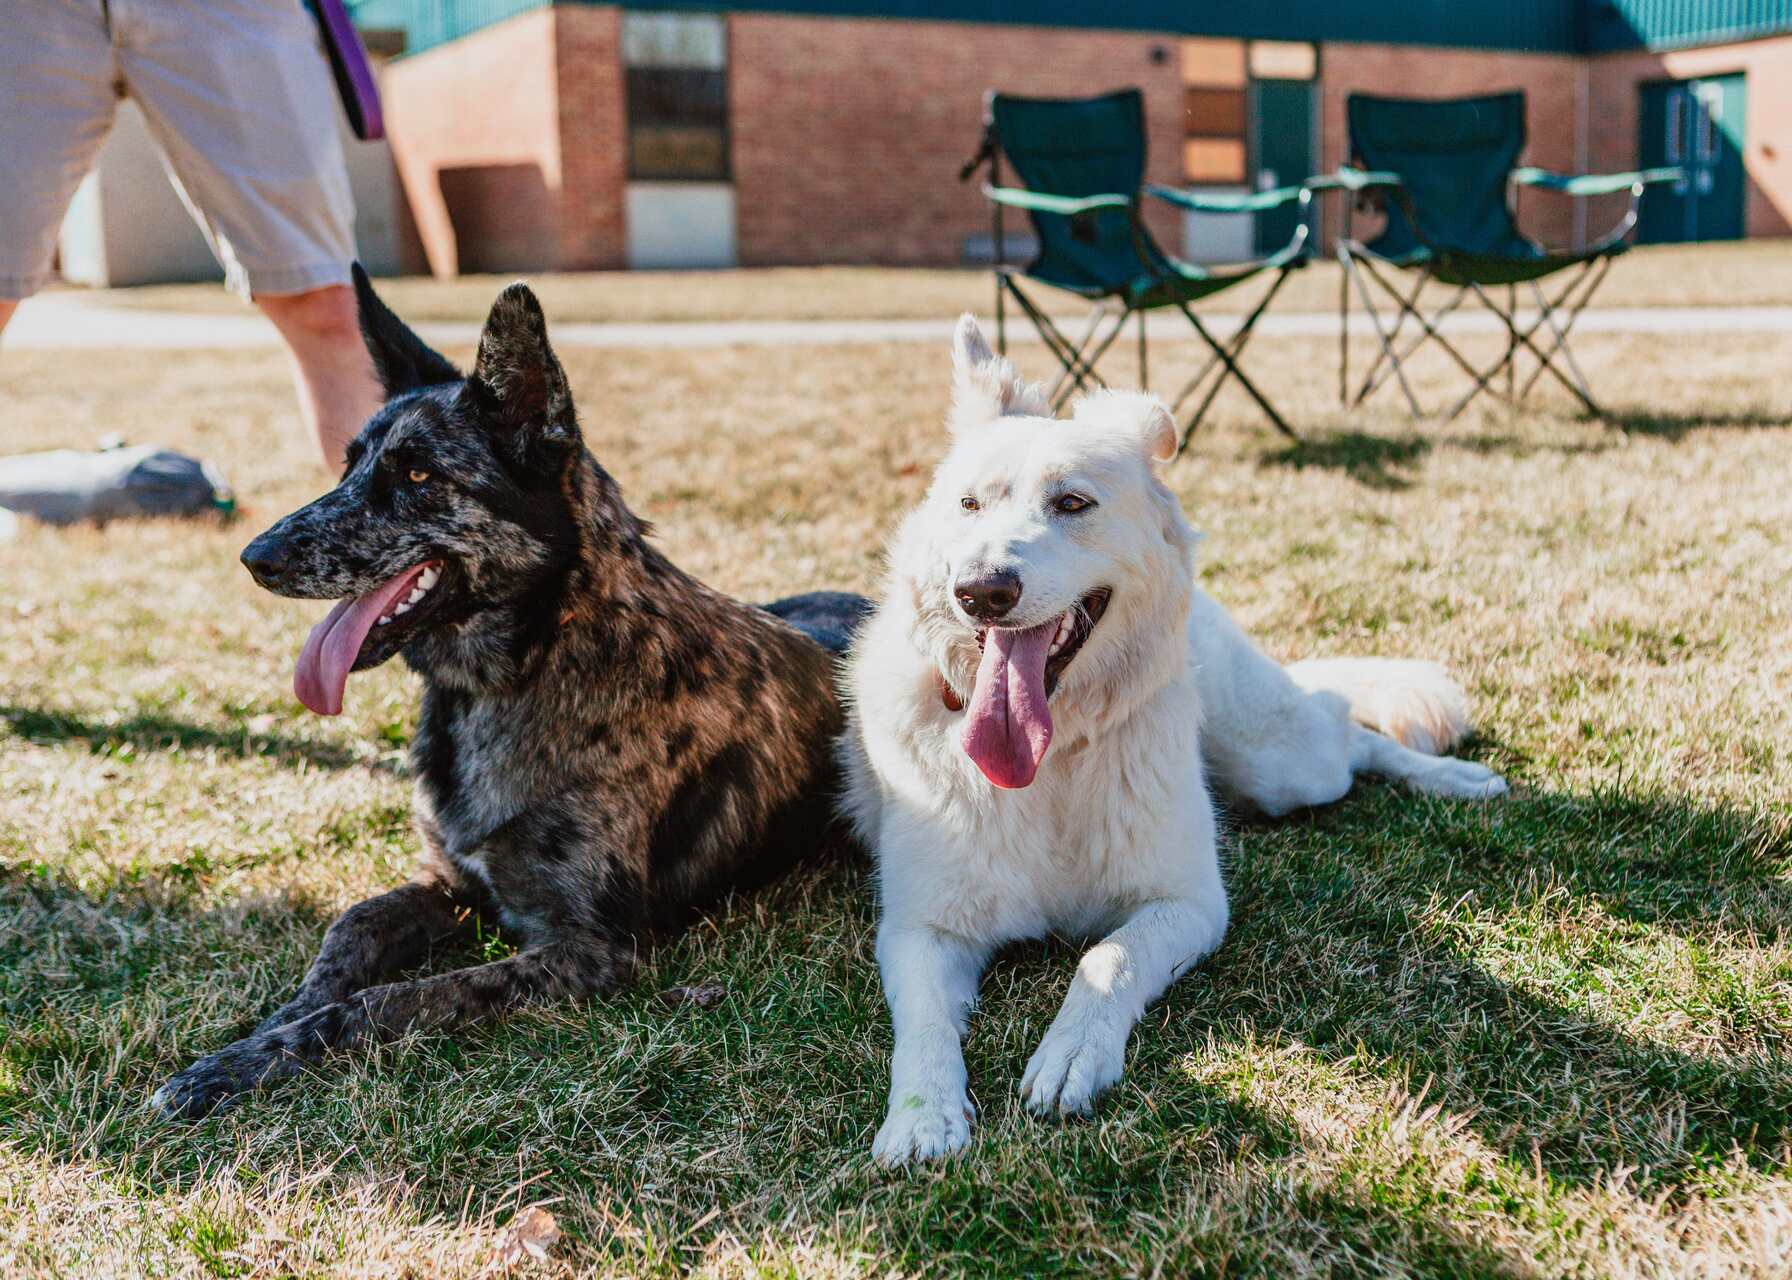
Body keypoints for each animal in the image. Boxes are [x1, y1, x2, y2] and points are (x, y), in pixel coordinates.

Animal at [150, 268, 863, 1118]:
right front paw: (268, 1028)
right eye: (349, 465)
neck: (535, 662)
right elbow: (349, 929)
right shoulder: (449, 883)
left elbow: (386, 1000)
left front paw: (266, 1053)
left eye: (418, 475)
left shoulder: (589, 948)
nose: (256, 557)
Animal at [838, 313, 1498, 1161]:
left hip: (1285, 763)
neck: (1055, 760)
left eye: (1073, 502)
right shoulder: (922, 931)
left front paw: (1074, 1051)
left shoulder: (1187, 904)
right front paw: (923, 1115)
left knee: (1347, 727)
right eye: (969, 504)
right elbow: (923, 1028)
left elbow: (1108, 956)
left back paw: (1453, 778)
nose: (980, 592)